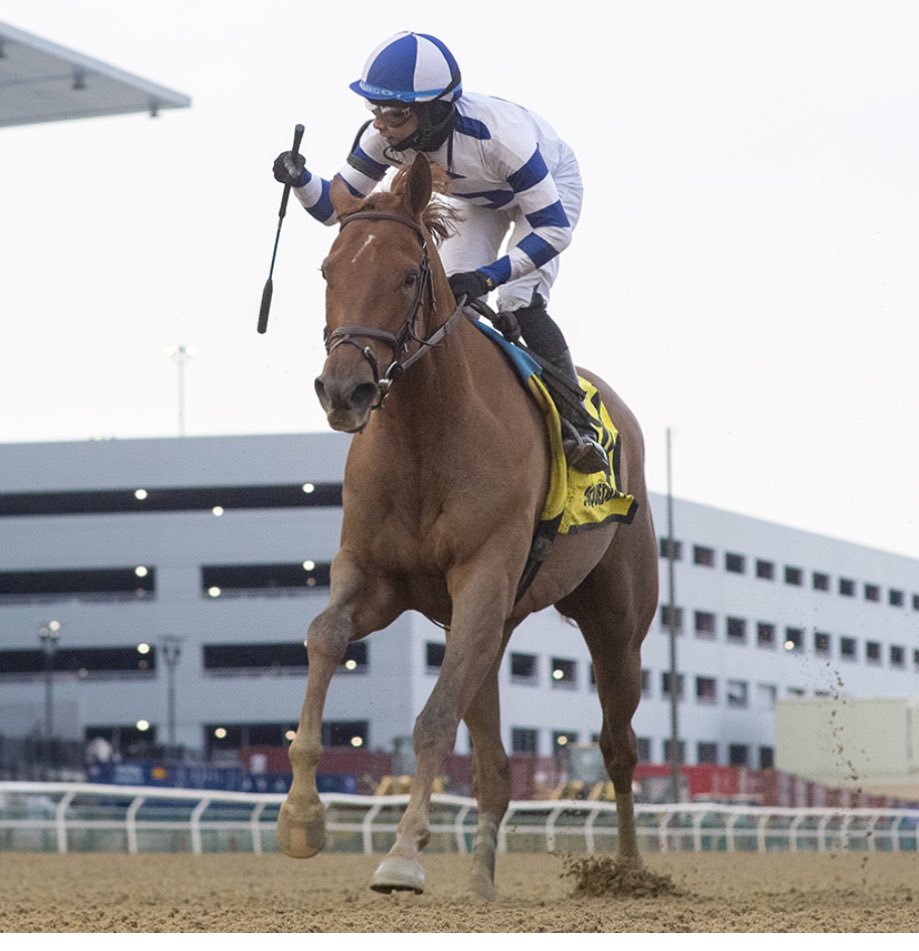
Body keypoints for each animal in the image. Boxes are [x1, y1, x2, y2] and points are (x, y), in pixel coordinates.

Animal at [276, 151, 656, 900]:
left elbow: (433, 720)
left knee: (617, 746)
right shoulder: (376, 575)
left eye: (405, 273)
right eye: (328, 271)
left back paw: (627, 870)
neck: (428, 432)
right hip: (494, 624)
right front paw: (302, 816)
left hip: (614, 624)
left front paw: (402, 853)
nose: (343, 390)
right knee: (494, 766)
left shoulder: (481, 576)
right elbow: (324, 636)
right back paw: (481, 880)